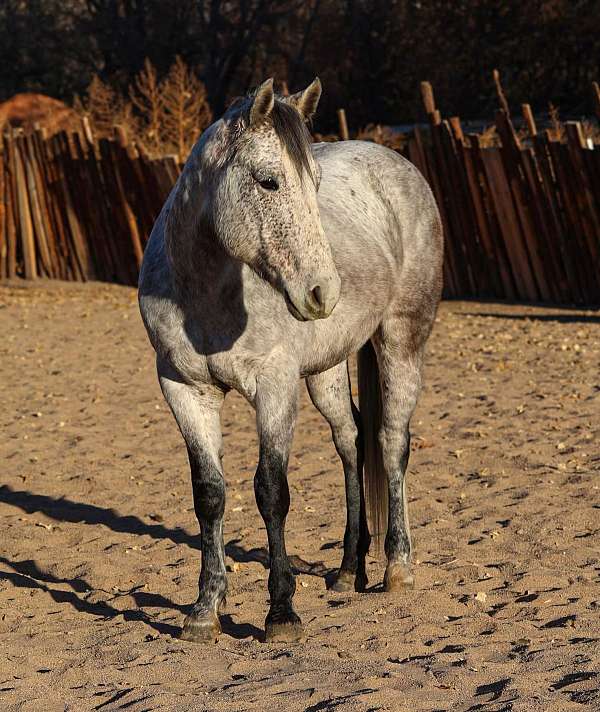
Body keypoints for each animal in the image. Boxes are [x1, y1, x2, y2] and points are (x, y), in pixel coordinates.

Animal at [139, 79, 440, 644]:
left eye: (314, 183)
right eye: (268, 181)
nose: (324, 292)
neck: (205, 295)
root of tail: (397, 164)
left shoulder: (275, 387)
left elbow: (271, 491)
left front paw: (280, 613)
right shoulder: (182, 389)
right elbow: (209, 494)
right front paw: (204, 610)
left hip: (401, 340)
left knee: (391, 441)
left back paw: (397, 567)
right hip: (325, 370)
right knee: (351, 440)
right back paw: (347, 571)